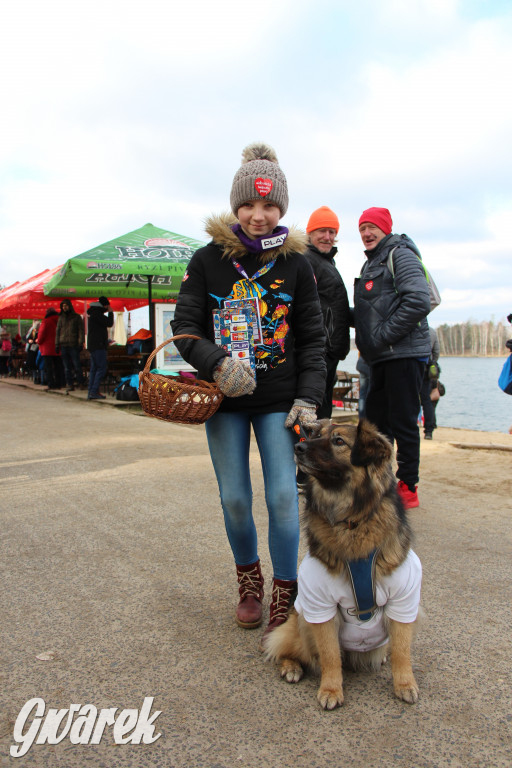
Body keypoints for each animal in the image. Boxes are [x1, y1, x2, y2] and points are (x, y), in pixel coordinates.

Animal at [262, 420, 422, 708]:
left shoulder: (404, 599)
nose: (298, 447)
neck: (351, 521)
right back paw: (291, 667)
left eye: (338, 441)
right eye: (316, 435)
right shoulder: (320, 606)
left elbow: (402, 650)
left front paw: (405, 684)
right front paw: (331, 690)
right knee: (285, 646)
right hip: (300, 623)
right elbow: (329, 655)